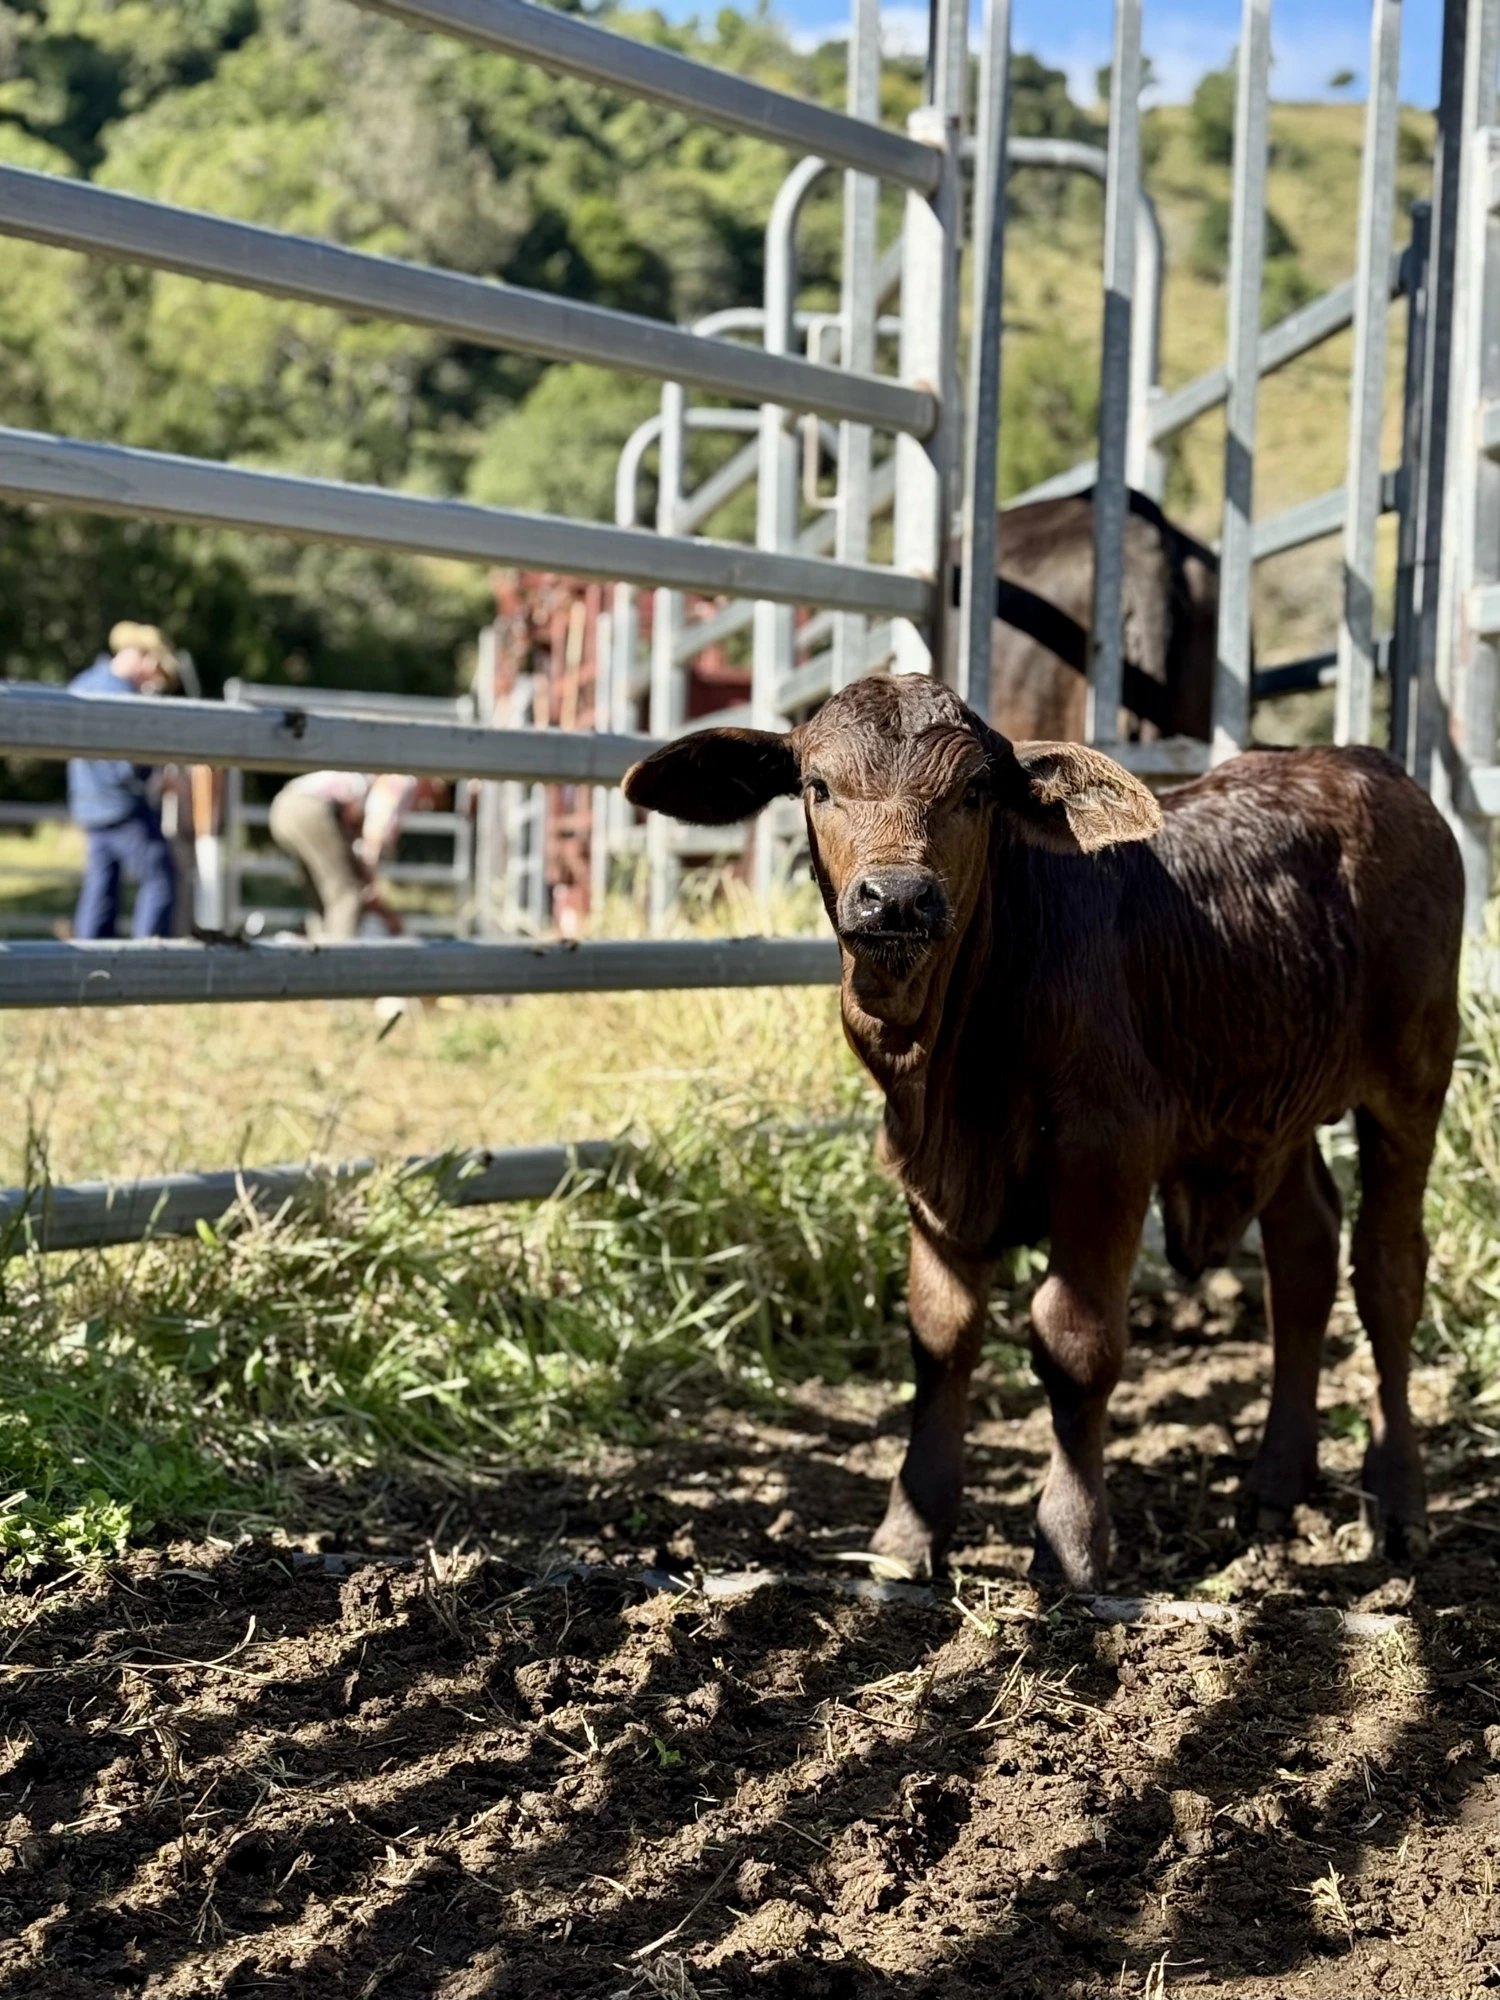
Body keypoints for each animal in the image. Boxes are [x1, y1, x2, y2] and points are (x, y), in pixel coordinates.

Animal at [622, 676, 1462, 1590]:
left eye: (974, 793)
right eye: (817, 786)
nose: (897, 897)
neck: (951, 1054)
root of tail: (1366, 763)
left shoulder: (1108, 1152)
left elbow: (1074, 1341)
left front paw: (1069, 1539)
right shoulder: (927, 1171)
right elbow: (939, 1336)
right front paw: (906, 1533)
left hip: (1413, 1080)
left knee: (1388, 1275)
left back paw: (1400, 1502)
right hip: (1272, 1103)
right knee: (1304, 1254)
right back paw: (1274, 1486)